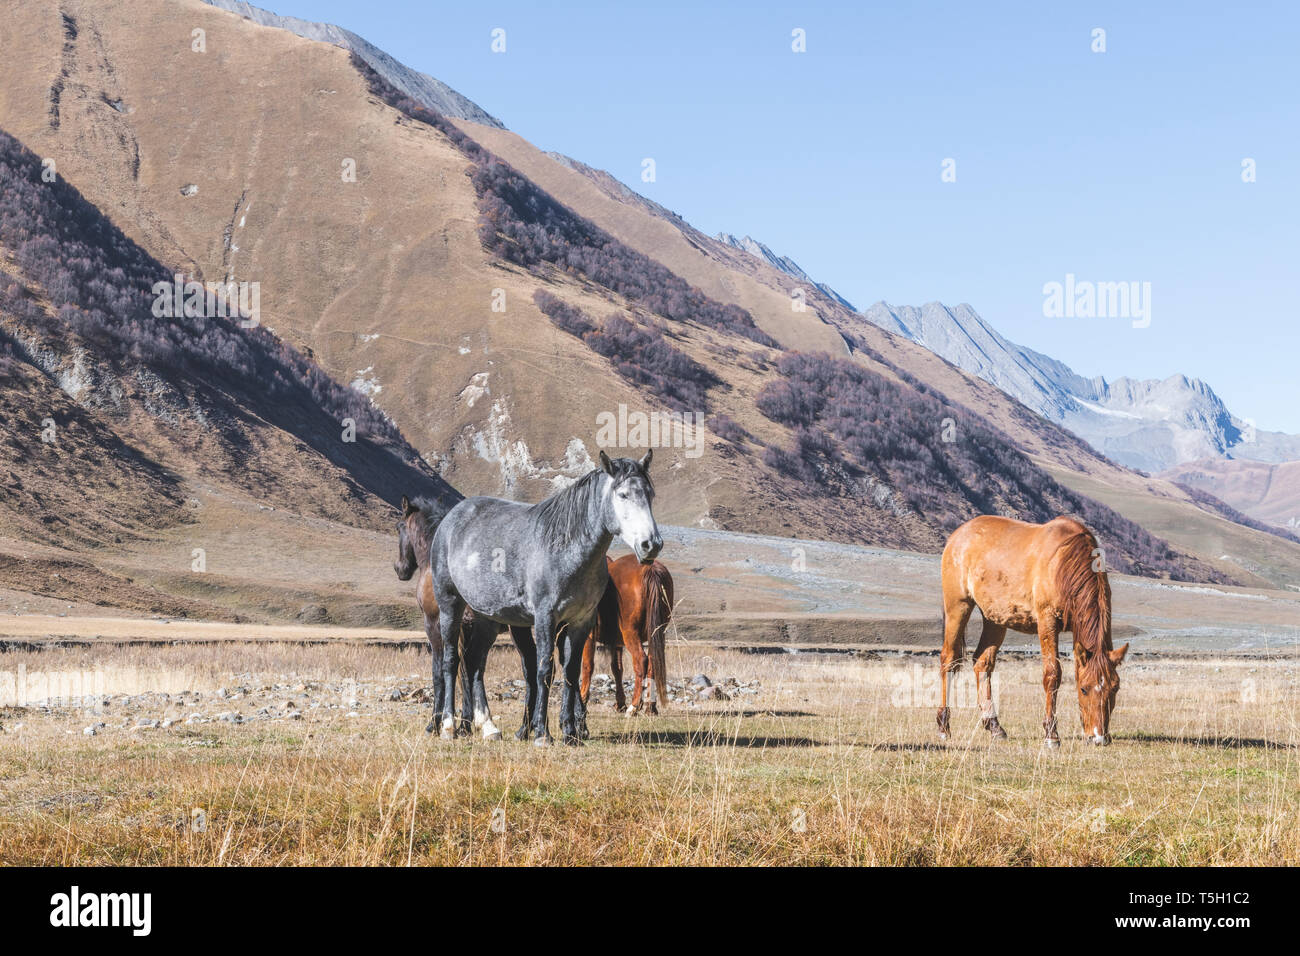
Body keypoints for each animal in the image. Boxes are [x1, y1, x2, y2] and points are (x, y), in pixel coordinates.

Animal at [431, 450, 665, 749]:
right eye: (623, 494)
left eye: (650, 494)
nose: (651, 544)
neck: (565, 549)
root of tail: (451, 519)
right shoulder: (545, 617)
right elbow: (544, 670)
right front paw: (542, 733)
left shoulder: (580, 622)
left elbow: (572, 672)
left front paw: (570, 732)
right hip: (450, 604)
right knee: (451, 660)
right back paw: (448, 726)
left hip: (487, 618)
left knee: (473, 662)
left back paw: (489, 727)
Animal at [585, 554, 676, 717]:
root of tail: (650, 569)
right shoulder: (616, 643)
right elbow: (617, 668)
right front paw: (620, 703)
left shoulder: (588, 637)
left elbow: (587, 666)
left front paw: (582, 701)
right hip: (655, 634)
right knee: (652, 664)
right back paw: (650, 707)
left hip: (631, 634)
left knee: (641, 661)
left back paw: (634, 706)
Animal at [935, 515, 1128, 749]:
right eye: (1084, 688)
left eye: (1115, 688)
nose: (1099, 738)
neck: (1064, 562)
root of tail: (957, 535)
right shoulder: (1047, 621)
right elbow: (1052, 674)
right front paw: (1051, 735)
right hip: (958, 606)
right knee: (949, 659)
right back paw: (943, 726)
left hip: (995, 618)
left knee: (982, 663)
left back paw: (994, 726)